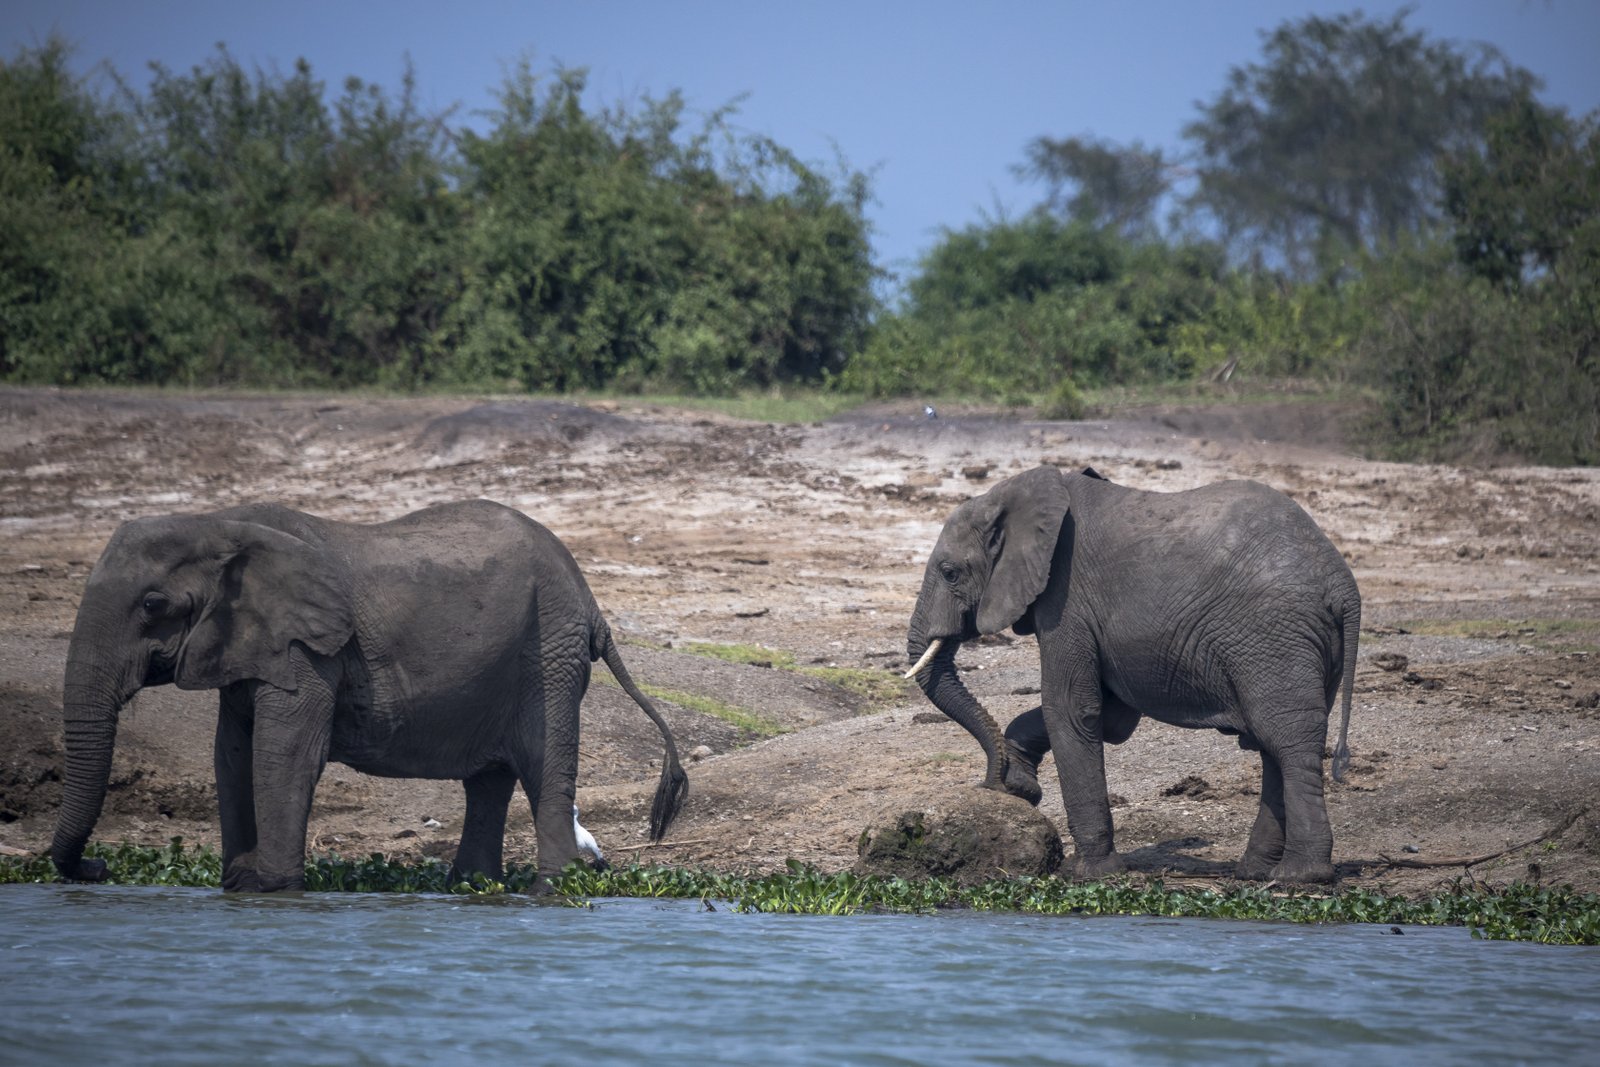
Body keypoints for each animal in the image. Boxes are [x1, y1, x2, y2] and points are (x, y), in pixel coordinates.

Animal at [50, 499, 687, 892]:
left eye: (152, 604)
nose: (97, 866)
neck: (220, 524)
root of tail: (592, 603)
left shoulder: (311, 650)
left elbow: (286, 756)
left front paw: (274, 889)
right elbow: (231, 754)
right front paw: (239, 889)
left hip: (549, 652)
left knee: (544, 771)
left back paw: (551, 888)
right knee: (488, 781)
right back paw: (474, 888)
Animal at [904, 466, 1358, 883]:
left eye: (950, 572)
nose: (987, 784)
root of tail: (1344, 586)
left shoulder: (1066, 599)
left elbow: (1072, 709)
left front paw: (1088, 873)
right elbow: (1110, 717)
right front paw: (1019, 787)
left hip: (1272, 637)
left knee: (1287, 740)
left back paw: (1300, 876)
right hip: (1301, 645)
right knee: (1273, 743)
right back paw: (1253, 872)